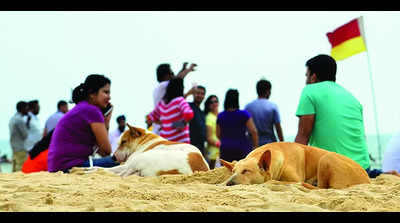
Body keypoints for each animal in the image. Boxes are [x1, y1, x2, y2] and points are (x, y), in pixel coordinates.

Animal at [219, 142, 372, 189]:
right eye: (233, 171)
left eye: (246, 171)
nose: (229, 183)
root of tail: (367, 179)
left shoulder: (293, 179)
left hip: (326, 157)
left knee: (322, 188)